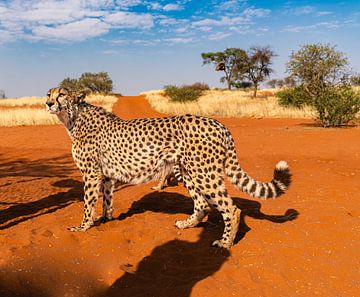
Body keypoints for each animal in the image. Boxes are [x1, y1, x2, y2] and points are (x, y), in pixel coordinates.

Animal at [46, 87, 292, 247]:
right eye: (48, 93)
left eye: (61, 94)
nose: (48, 103)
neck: (73, 118)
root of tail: (218, 124)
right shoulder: (106, 175)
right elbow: (107, 200)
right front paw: (105, 219)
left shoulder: (91, 174)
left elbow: (88, 203)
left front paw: (83, 227)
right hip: (188, 172)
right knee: (202, 204)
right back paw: (187, 224)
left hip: (203, 173)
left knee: (231, 208)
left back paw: (225, 243)